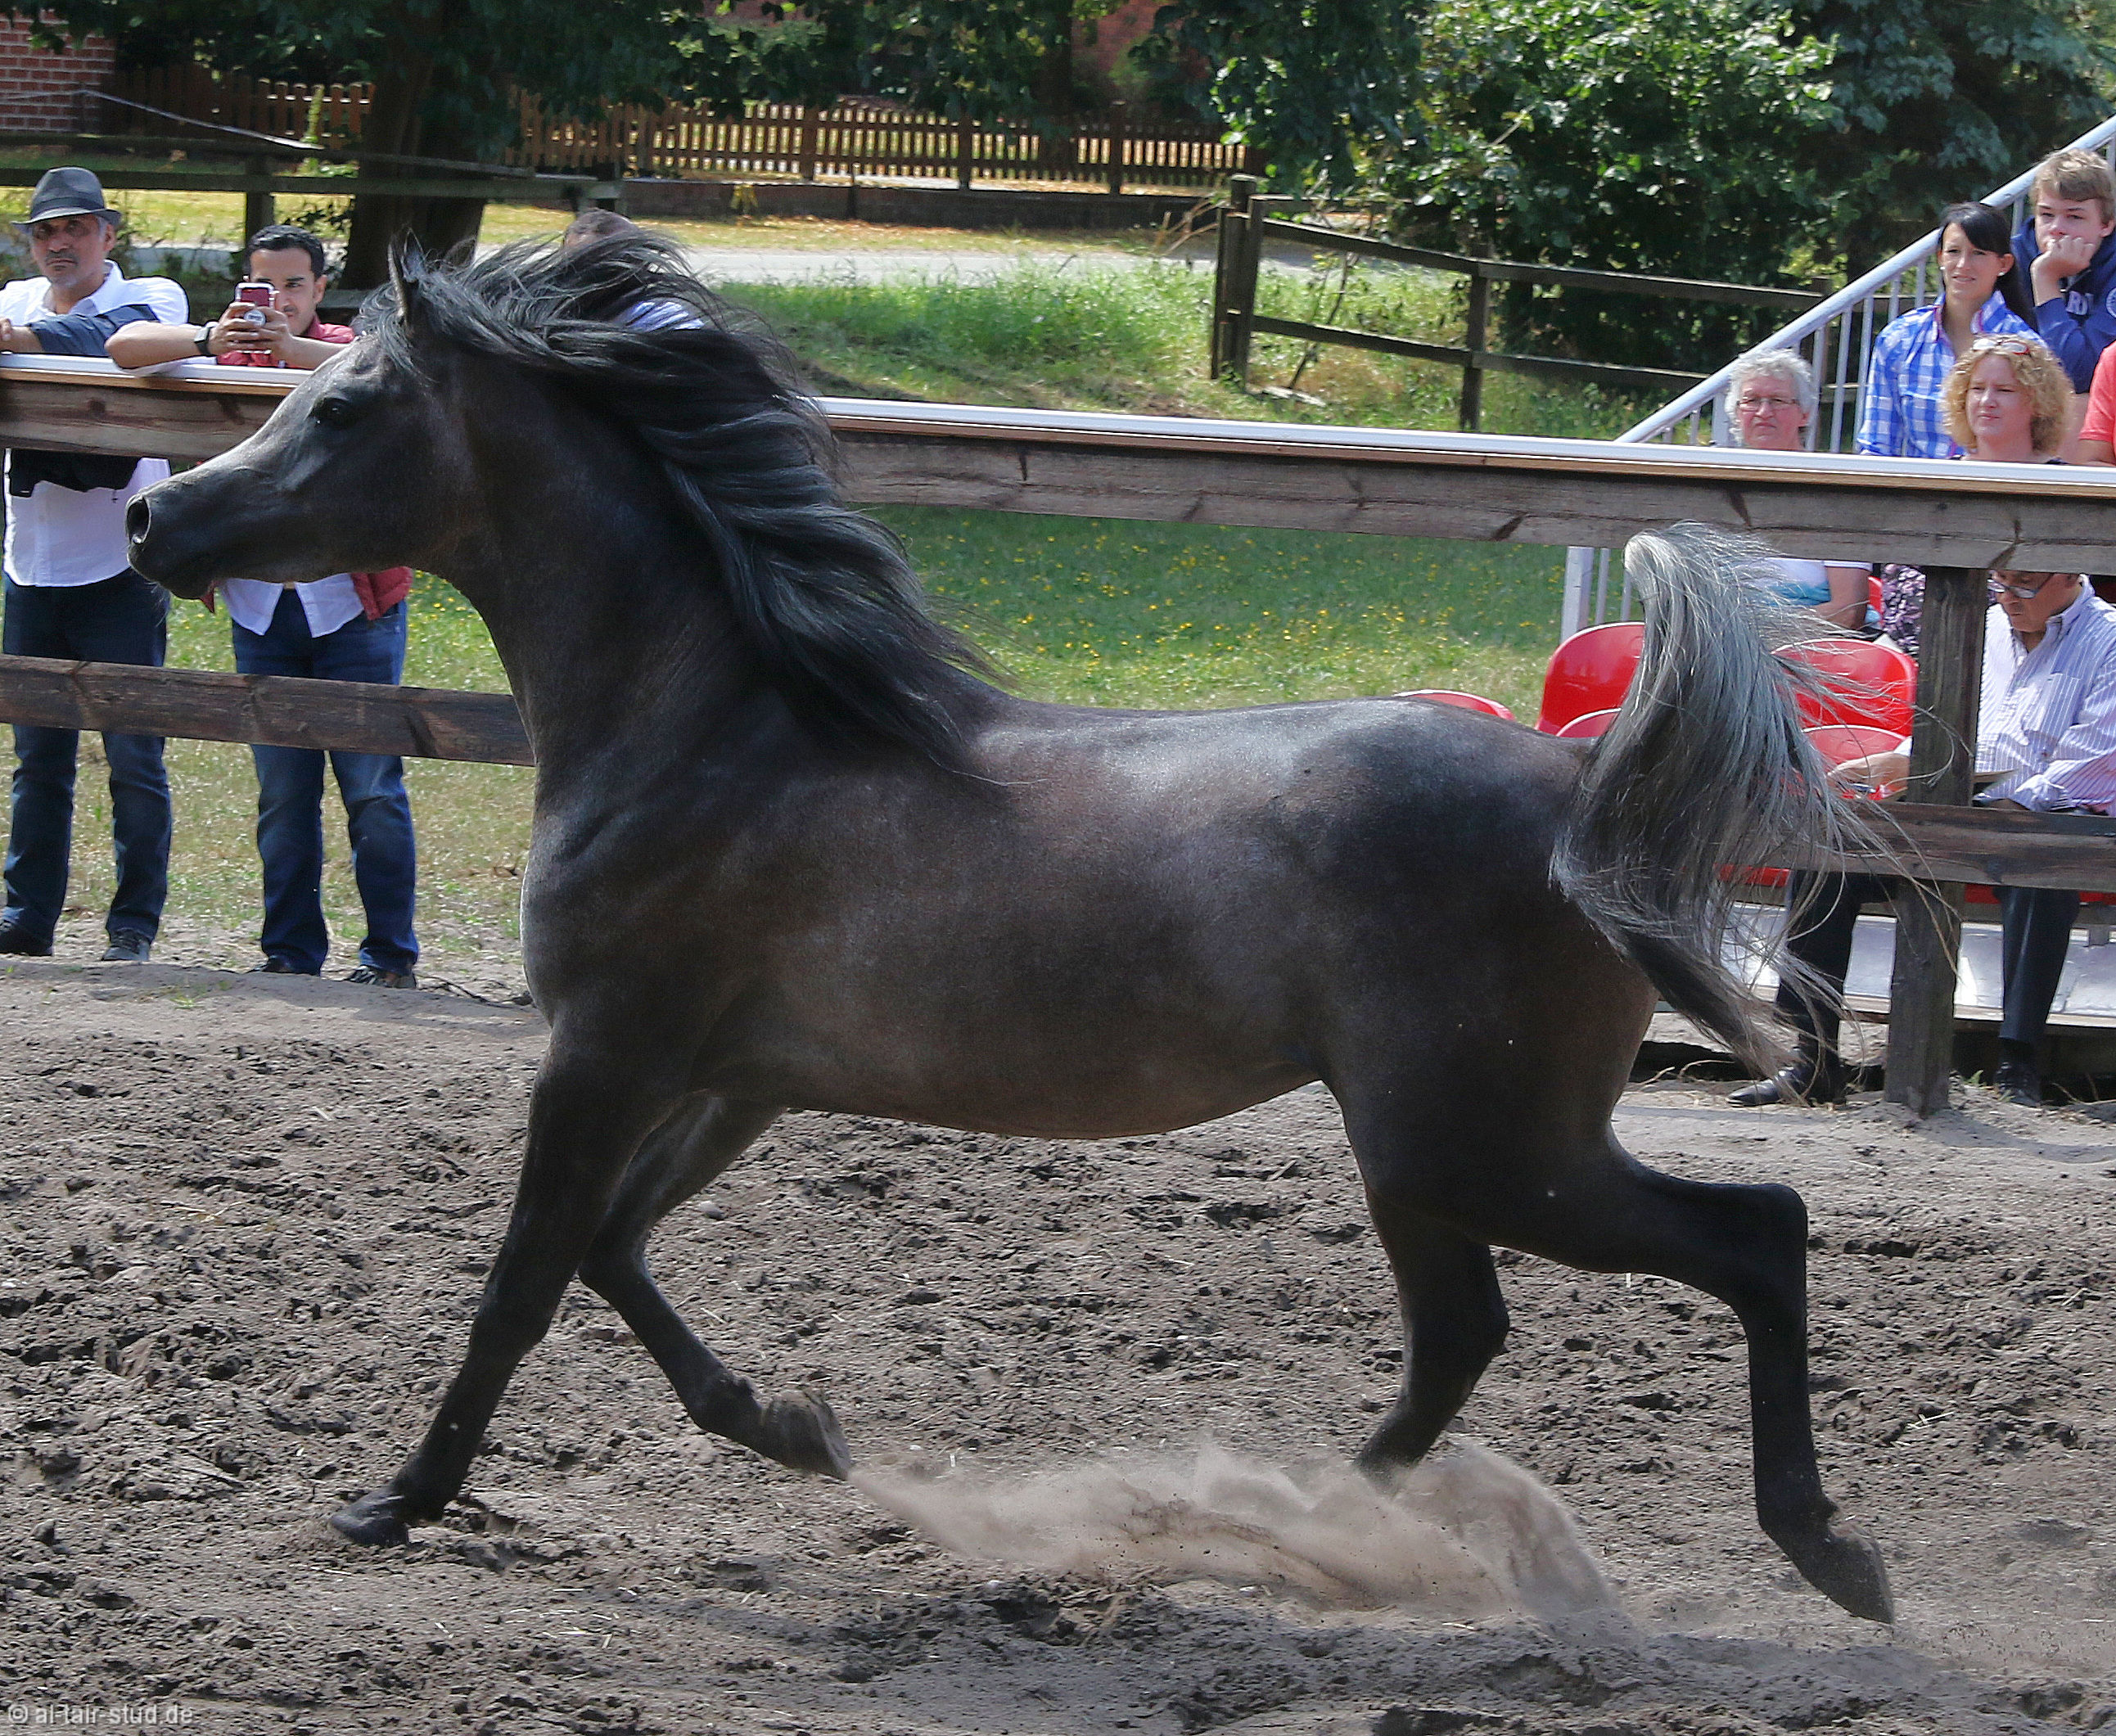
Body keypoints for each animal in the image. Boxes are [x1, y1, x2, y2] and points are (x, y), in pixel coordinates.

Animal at [125, 234, 1890, 1623]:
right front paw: (794, 1426)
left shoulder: (607, 1052)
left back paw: (1822, 1552)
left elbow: (524, 1277)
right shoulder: (734, 1077)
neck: (712, 730)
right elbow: (616, 1253)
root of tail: (1579, 797)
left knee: (1755, 1233)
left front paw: (395, 1497)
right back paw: (1276, 1526)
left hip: (1486, 1140)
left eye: (340, 404)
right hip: (1424, 1150)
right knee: (1465, 1332)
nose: (156, 526)